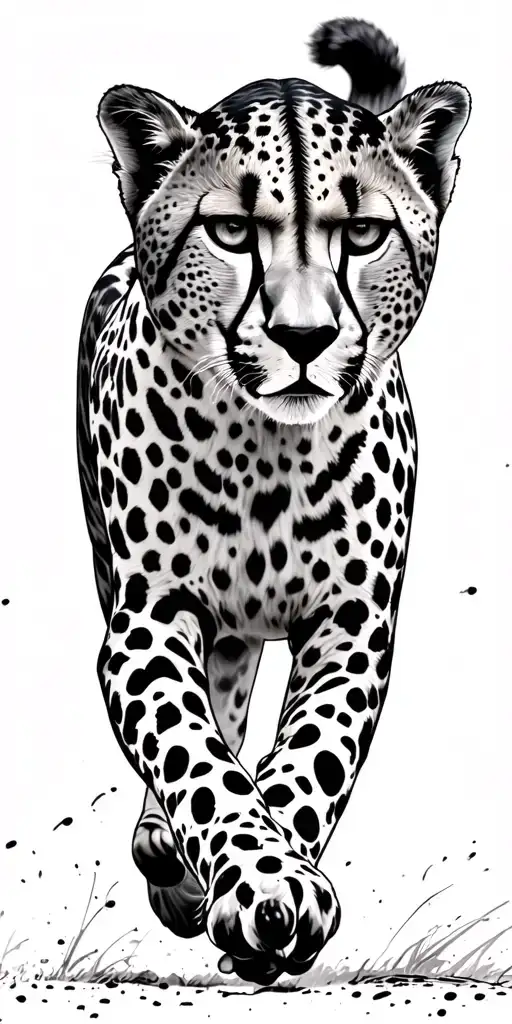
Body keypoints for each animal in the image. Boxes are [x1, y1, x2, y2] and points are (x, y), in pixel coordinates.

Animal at [77, 16, 470, 985]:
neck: (269, 456)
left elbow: (309, 760)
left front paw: (274, 893)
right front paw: (254, 881)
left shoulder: (353, 626)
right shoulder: (148, 617)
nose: (303, 337)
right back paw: (162, 847)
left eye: (362, 232)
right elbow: (192, 751)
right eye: (228, 230)